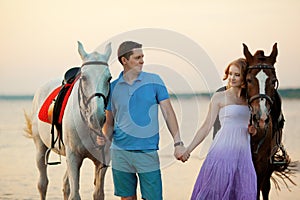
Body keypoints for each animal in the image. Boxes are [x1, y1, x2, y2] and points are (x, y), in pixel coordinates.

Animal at [24, 41, 111, 199]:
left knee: (65, 185)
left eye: (109, 78)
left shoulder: (102, 160)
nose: (97, 117)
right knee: (42, 184)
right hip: (40, 148)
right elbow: (75, 195)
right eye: (84, 77)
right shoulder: (73, 157)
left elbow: (98, 194)